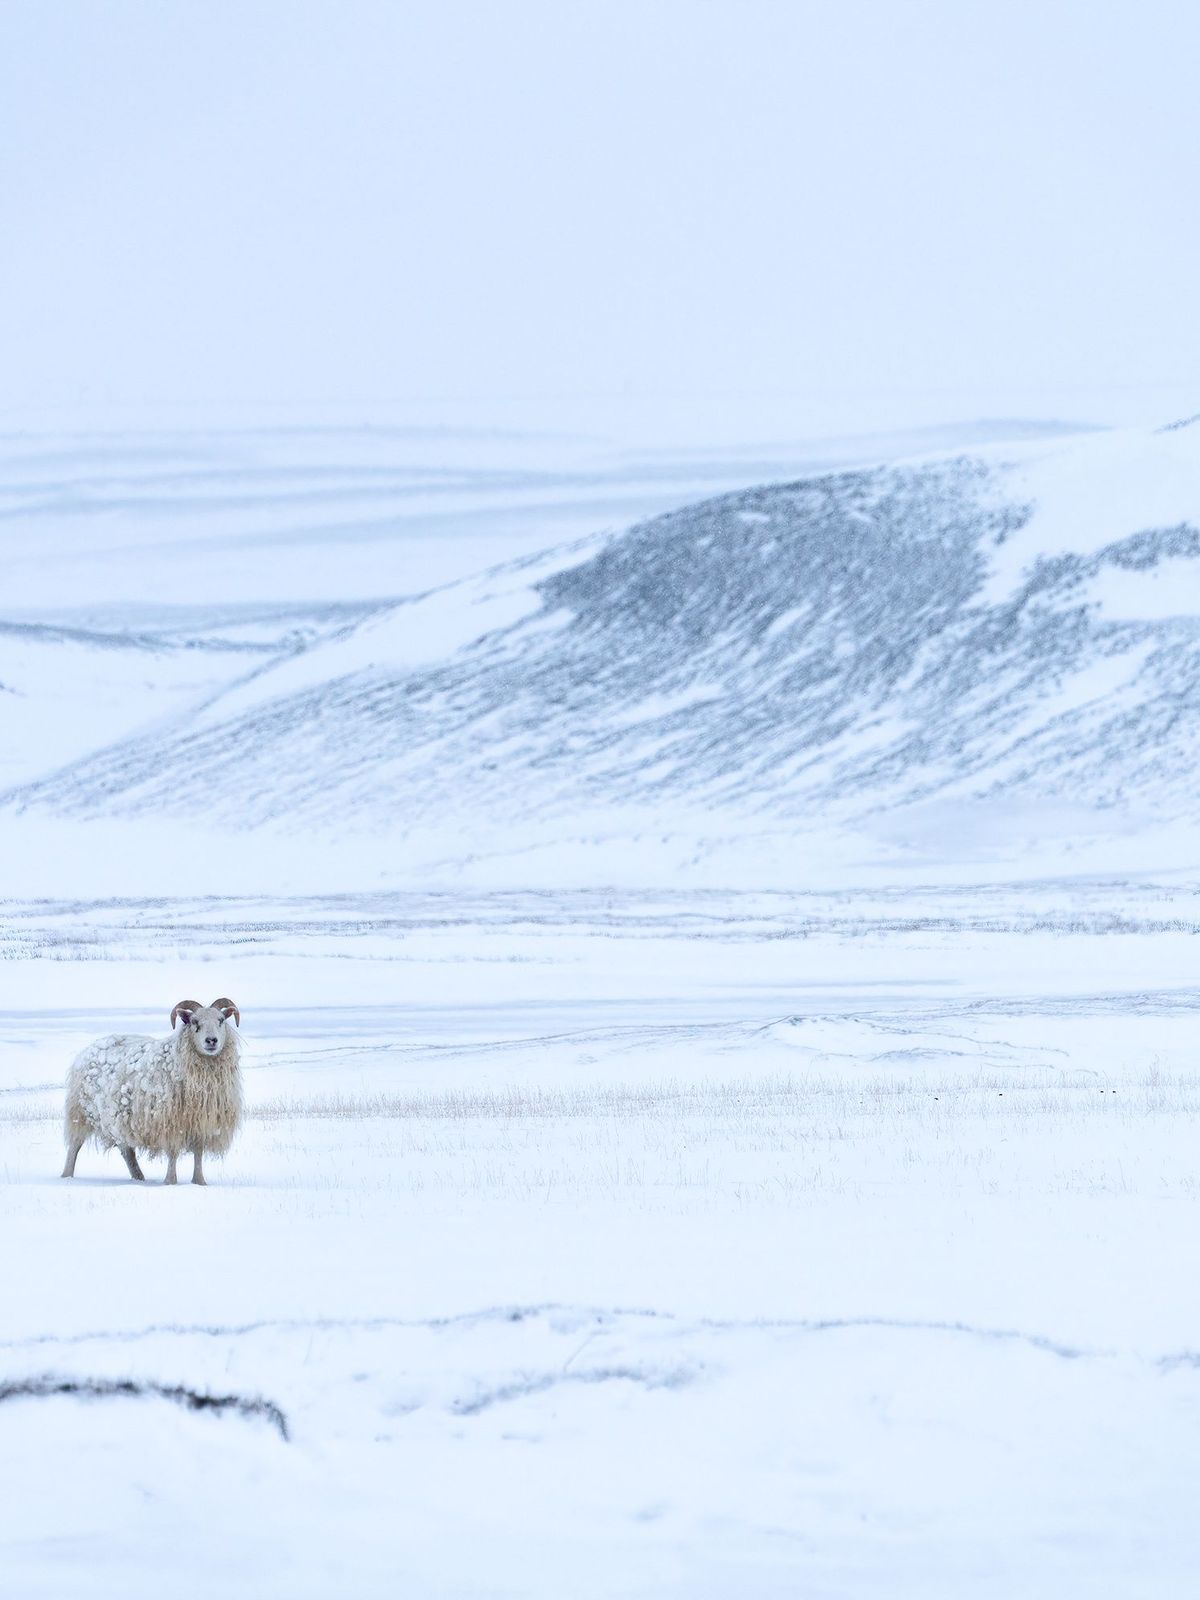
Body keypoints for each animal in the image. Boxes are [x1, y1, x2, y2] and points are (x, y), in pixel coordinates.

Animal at [62, 998, 243, 1185]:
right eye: (194, 1022)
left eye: (221, 1020)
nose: (211, 1040)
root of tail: (90, 1047)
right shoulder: (170, 1122)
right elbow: (173, 1153)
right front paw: (170, 1181)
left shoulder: (201, 1124)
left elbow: (198, 1154)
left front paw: (199, 1182)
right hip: (79, 1113)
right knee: (74, 1146)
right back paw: (66, 1176)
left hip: (119, 1120)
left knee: (126, 1151)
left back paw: (139, 1177)